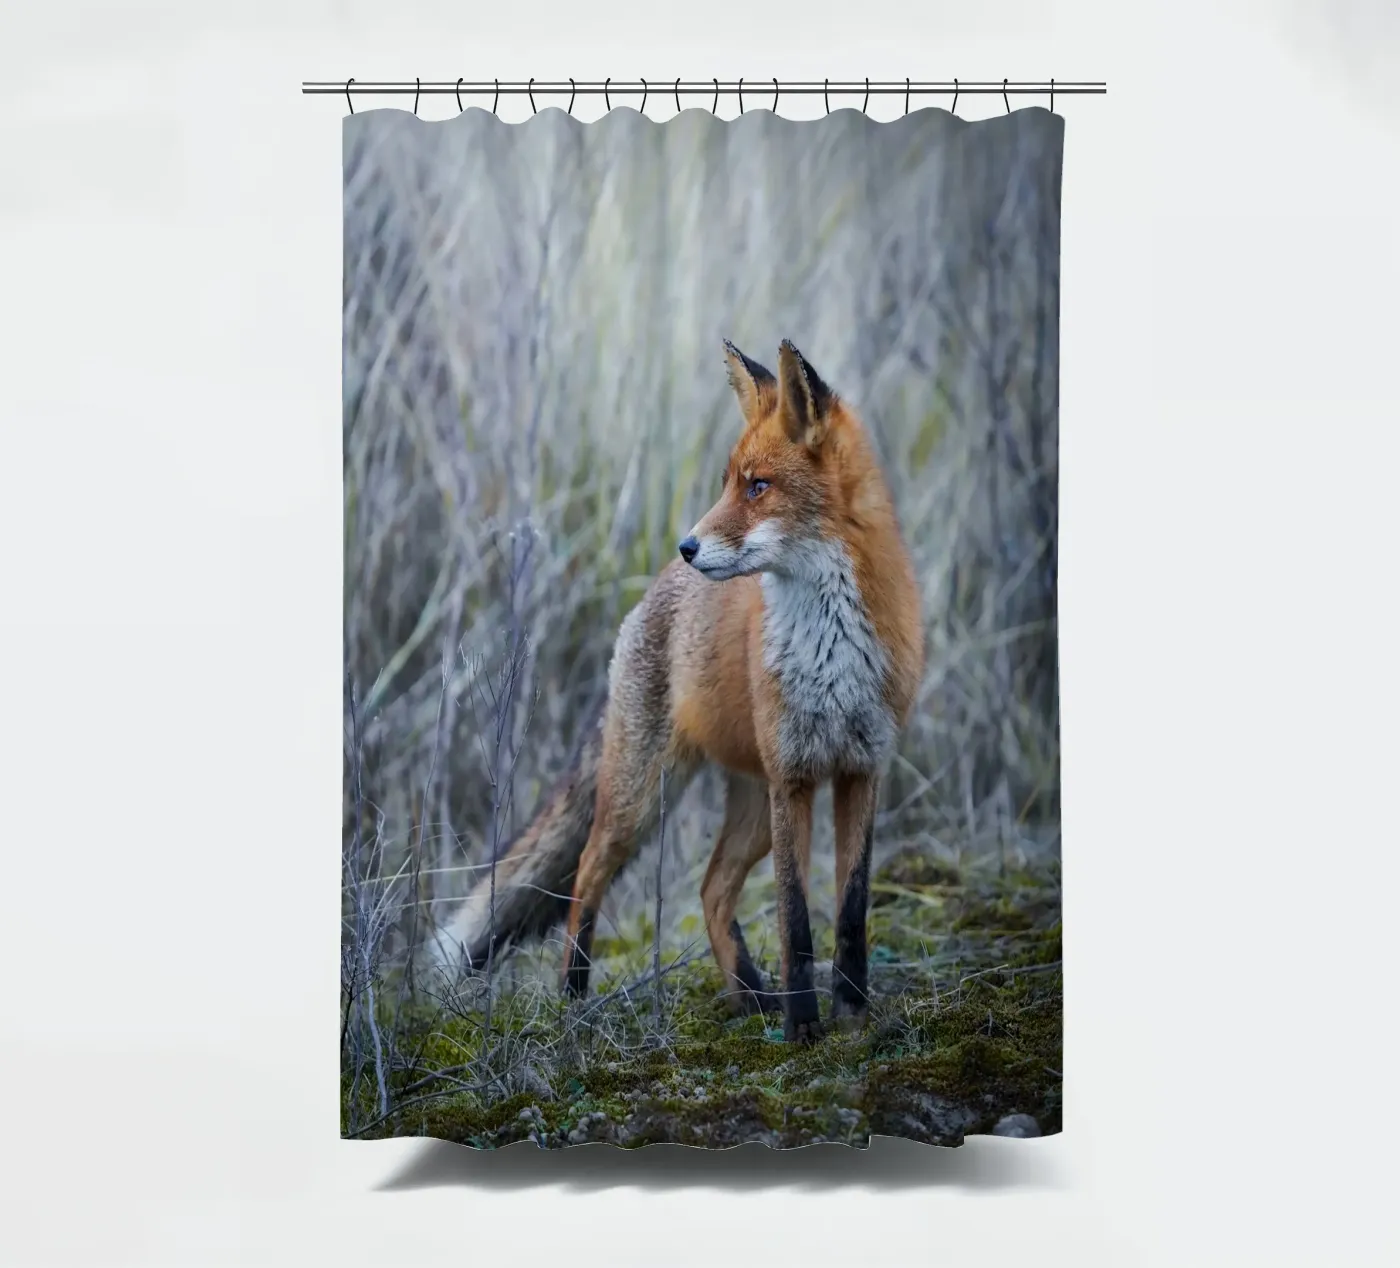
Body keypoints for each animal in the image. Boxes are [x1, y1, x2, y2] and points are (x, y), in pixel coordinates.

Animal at [431, 339, 925, 1042]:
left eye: (758, 486)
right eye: (727, 482)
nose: (688, 544)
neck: (829, 649)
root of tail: (651, 594)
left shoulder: (860, 767)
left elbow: (850, 911)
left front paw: (852, 1018)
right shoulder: (795, 777)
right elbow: (797, 922)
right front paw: (805, 1029)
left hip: (750, 806)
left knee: (712, 890)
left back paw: (750, 995)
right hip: (643, 796)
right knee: (586, 874)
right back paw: (573, 999)